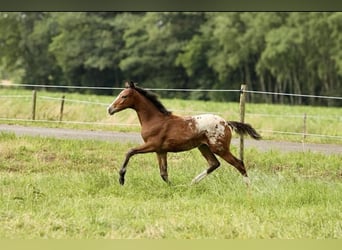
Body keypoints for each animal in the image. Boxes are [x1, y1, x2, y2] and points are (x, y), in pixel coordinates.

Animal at [107, 82, 262, 186]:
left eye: (124, 96)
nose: (110, 109)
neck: (154, 120)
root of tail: (226, 123)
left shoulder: (152, 145)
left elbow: (130, 151)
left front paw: (121, 179)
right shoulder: (161, 150)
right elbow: (163, 173)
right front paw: (173, 187)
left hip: (219, 148)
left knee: (239, 164)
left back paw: (248, 188)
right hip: (203, 147)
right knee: (214, 164)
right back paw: (191, 183)